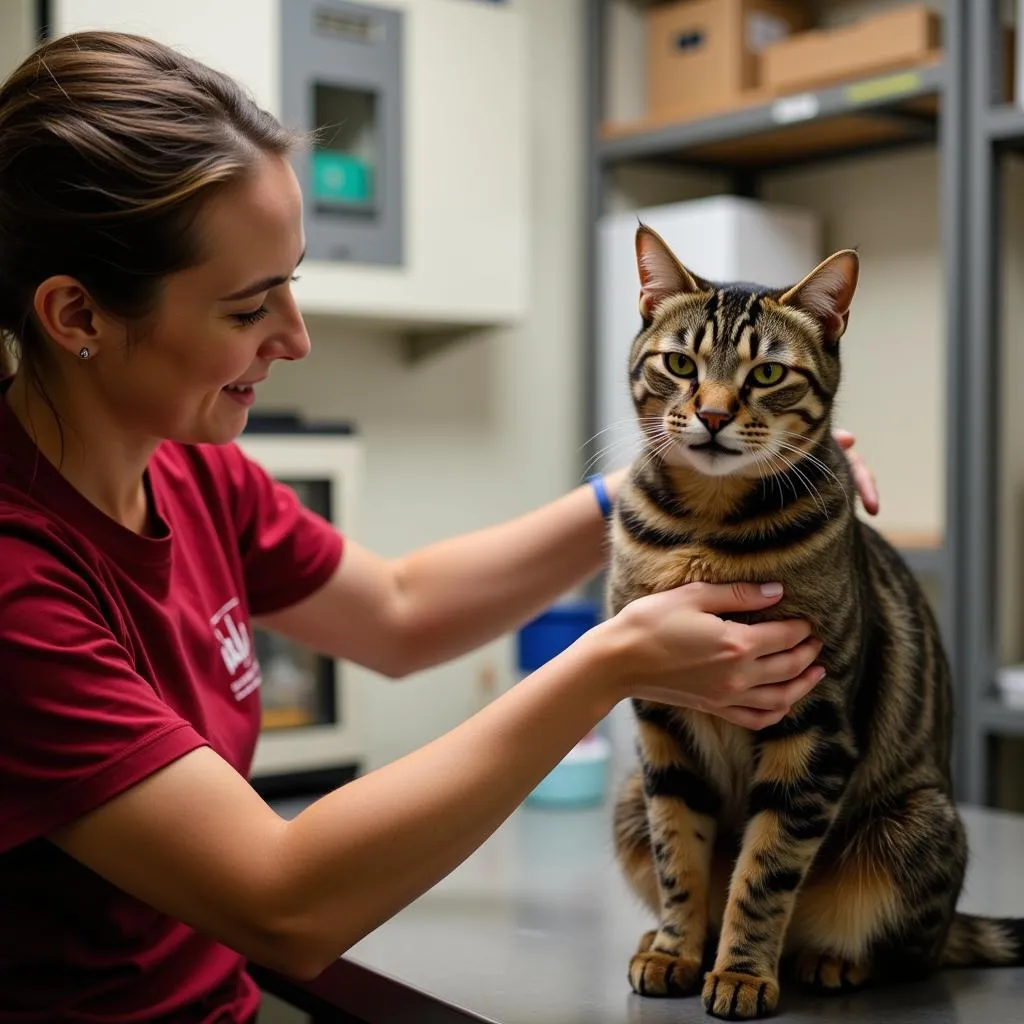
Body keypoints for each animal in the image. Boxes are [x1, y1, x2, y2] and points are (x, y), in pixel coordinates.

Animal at [606, 224, 1024, 1015]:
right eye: (680, 364)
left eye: (768, 375)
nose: (712, 414)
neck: (707, 529)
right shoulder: (661, 725)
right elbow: (682, 858)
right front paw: (676, 949)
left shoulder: (813, 727)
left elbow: (764, 872)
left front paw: (741, 972)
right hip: (626, 800)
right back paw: (661, 940)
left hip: (912, 830)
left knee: (904, 952)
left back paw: (830, 960)